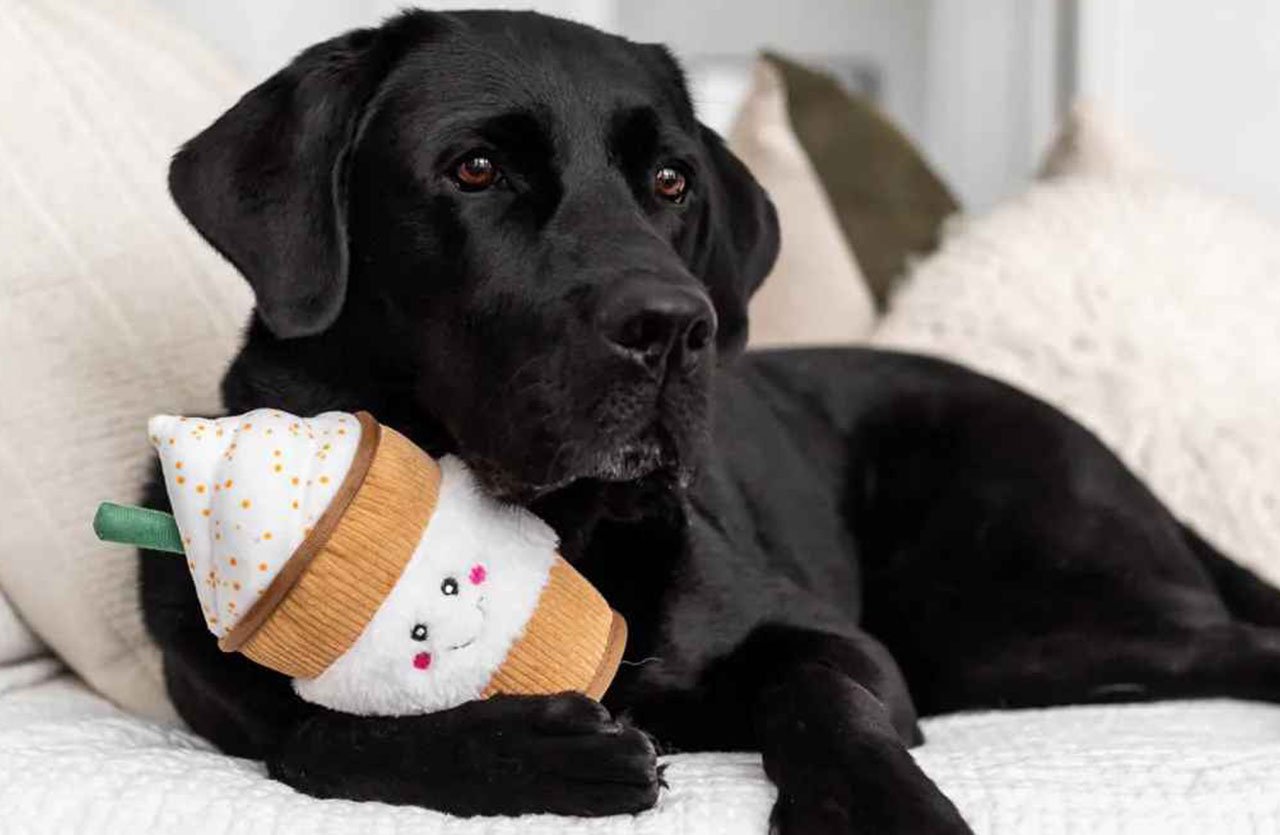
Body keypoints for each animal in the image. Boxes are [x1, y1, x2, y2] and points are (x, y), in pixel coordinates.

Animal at [137, 9, 1280, 829]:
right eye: (475, 169)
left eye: (670, 180)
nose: (677, 327)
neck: (567, 529)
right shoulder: (230, 696)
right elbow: (328, 734)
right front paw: (545, 749)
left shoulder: (842, 645)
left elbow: (823, 690)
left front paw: (883, 804)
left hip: (1033, 599)